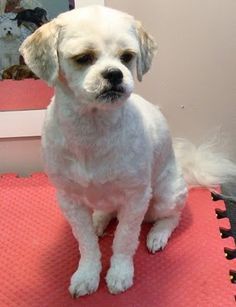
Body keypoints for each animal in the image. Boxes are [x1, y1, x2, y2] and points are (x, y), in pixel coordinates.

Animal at [19, 5, 236, 298]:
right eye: (83, 58)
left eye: (127, 57)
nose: (114, 74)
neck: (92, 129)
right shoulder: (69, 199)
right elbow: (85, 243)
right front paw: (87, 274)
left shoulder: (135, 197)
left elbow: (124, 238)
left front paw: (120, 273)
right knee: (106, 213)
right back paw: (99, 221)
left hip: (166, 195)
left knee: (171, 217)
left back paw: (158, 234)